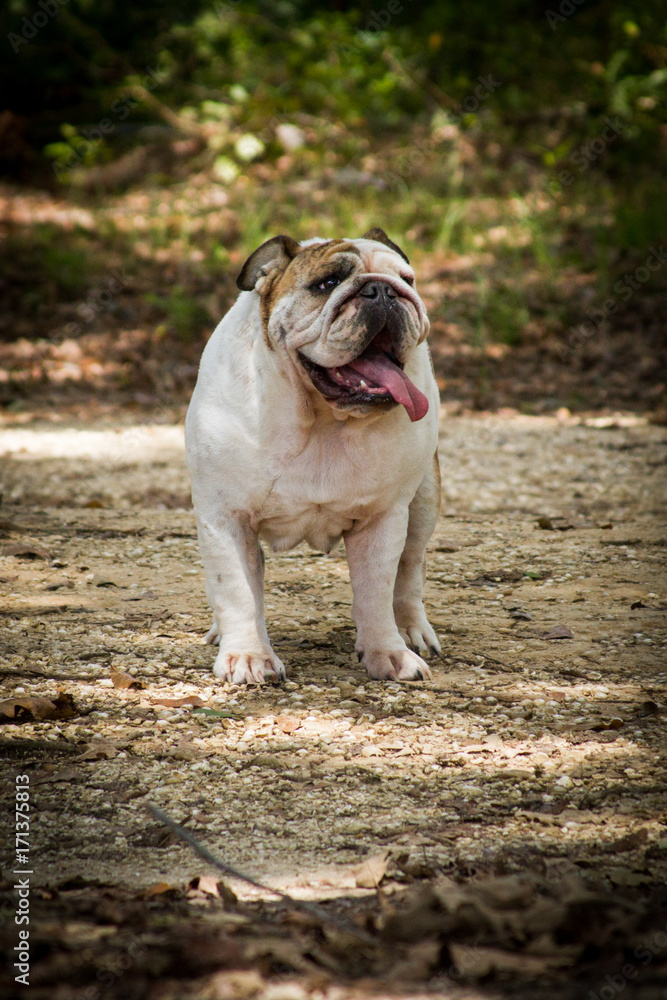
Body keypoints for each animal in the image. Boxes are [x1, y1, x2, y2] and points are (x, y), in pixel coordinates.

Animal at [185, 229, 440, 684]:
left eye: (407, 279)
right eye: (326, 283)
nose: (383, 290)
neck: (322, 420)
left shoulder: (383, 519)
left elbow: (377, 590)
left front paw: (388, 652)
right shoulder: (226, 518)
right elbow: (236, 591)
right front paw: (248, 654)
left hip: (423, 501)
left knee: (410, 570)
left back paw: (412, 629)